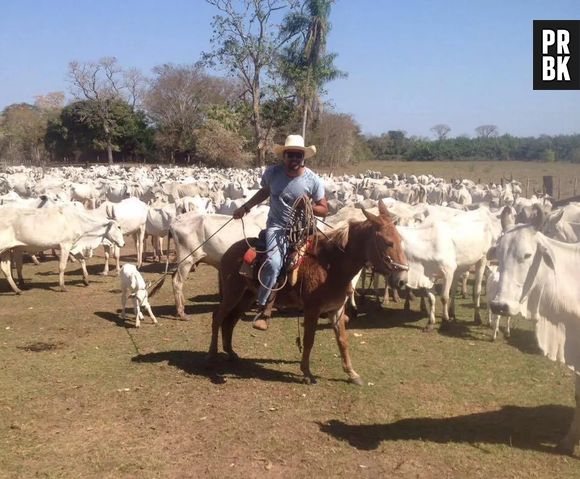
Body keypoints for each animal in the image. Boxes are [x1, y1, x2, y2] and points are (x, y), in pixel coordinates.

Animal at [208, 202, 408, 386]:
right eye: (388, 242)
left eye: (400, 240)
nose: (402, 279)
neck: (331, 266)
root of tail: (229, 251)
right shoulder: (312, 309)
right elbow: (309, 339)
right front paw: (307, 372)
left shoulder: (336, 309)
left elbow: (343, 341)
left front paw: (352, 374)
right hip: (232, 293)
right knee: (218, 317)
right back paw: (212, 354)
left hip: (246, 297)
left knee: (230, 320)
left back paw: (230, 352)